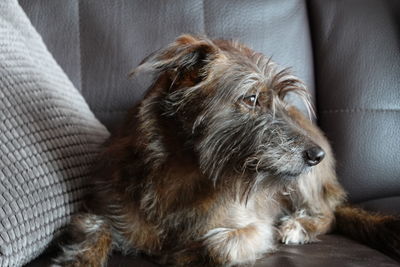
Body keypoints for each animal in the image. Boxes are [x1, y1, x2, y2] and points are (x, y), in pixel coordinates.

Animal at [54, 35, 400, 267]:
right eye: (251, 98)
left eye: (281, 98)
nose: (318, 156)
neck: (182, 174)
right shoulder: (100, 210)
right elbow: (95, 231)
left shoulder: (253, 228)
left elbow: (218, 246)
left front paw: (181, 253)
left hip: (304, 185)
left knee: (328, 214)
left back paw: (298, 225)